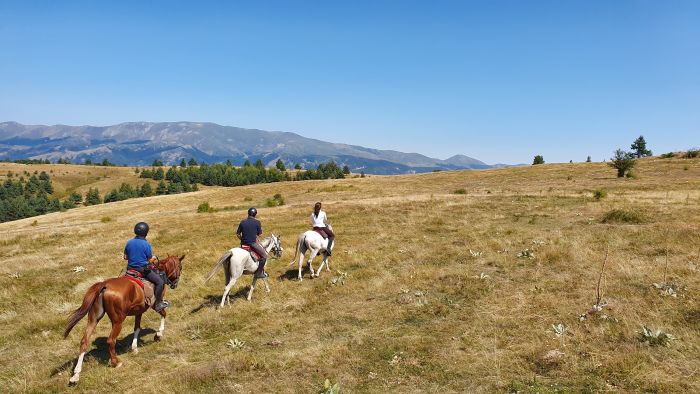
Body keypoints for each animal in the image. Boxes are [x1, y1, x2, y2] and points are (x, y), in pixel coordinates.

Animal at [63, 254, 185, 386]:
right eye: (180, 267)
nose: (175, 284)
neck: (159, 270)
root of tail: (104, 285)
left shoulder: (139, 311)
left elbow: (137, 327)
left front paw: (134, 348)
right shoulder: (155, 304)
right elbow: (163, 313)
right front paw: (158, 334)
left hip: (94, 318)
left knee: (84, 341)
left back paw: (75, 375)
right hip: (118, 321)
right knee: (111, 340)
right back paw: (116, 362)